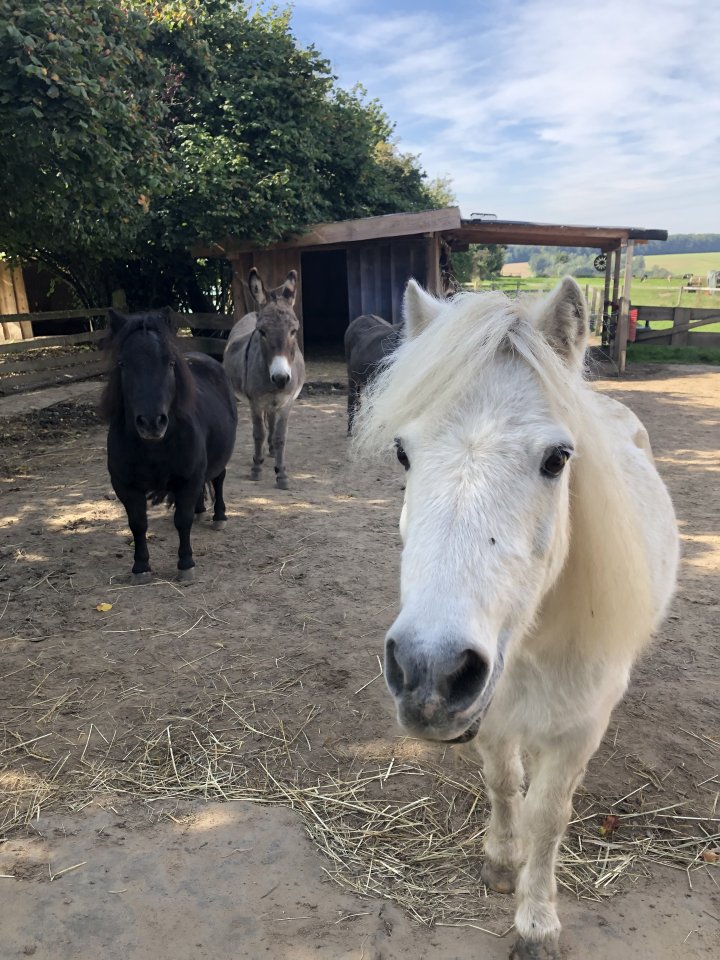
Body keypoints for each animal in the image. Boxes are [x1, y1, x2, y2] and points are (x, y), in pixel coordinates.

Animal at [100, 307, 237, 584]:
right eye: (122, 363)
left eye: (170, 363)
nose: (152, 422)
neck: (154, 448)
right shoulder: (125, 486)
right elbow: (138, 524)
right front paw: (141, 566)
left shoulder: (188, 479)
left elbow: (182, 521)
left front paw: (186, 564)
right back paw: (200, 510)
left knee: (218, 479)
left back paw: (219, 517)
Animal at [223, 268, 305, 490]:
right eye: (262, 331)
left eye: (294, 330)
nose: (281, 378)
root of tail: (253, 312)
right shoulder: (256, 402)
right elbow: (258, 433)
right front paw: (256, 468)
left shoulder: (287, 402)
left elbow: (280, 436)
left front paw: (281, 474)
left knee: (272, 423)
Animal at [353, 277, 679, 960]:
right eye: (402, 453)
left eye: (558, 459)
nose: (429, 671)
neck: (531, 642)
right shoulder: (490, 711)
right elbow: (504, 784)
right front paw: (502, 864)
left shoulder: (579, 730)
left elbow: (548, 817)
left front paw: (536, 922)